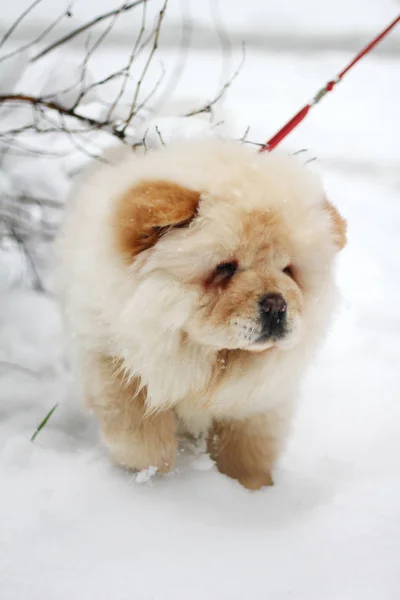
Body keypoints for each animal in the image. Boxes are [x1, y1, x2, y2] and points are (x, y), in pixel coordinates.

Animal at [57, 138, 346, 490]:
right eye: (224, 268)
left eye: (288, 271)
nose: (277, 304)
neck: (211, 360)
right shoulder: (112, 357)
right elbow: (139, 432)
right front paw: (154, 474)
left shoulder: (257, 402)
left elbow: (248, 449)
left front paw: (252, 489)